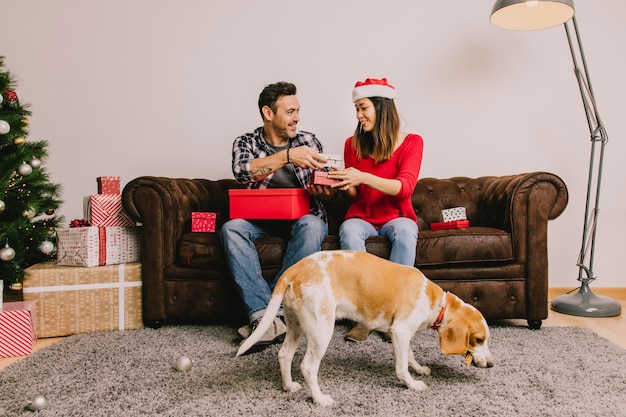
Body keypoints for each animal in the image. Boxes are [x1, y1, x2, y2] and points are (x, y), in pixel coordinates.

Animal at [235, 249, 492, 404]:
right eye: (478, 339)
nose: (491, 365)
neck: (436, 301)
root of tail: (295, 268)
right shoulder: (400, 332)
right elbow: (401, 367)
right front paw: (412, 384)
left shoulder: (401, 334)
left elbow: (409, 356)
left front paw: (419, 368)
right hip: (321, 330)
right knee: (307, 366)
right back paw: (319, 399)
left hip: (296, 325)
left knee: (284, 355)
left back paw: (288, 386)